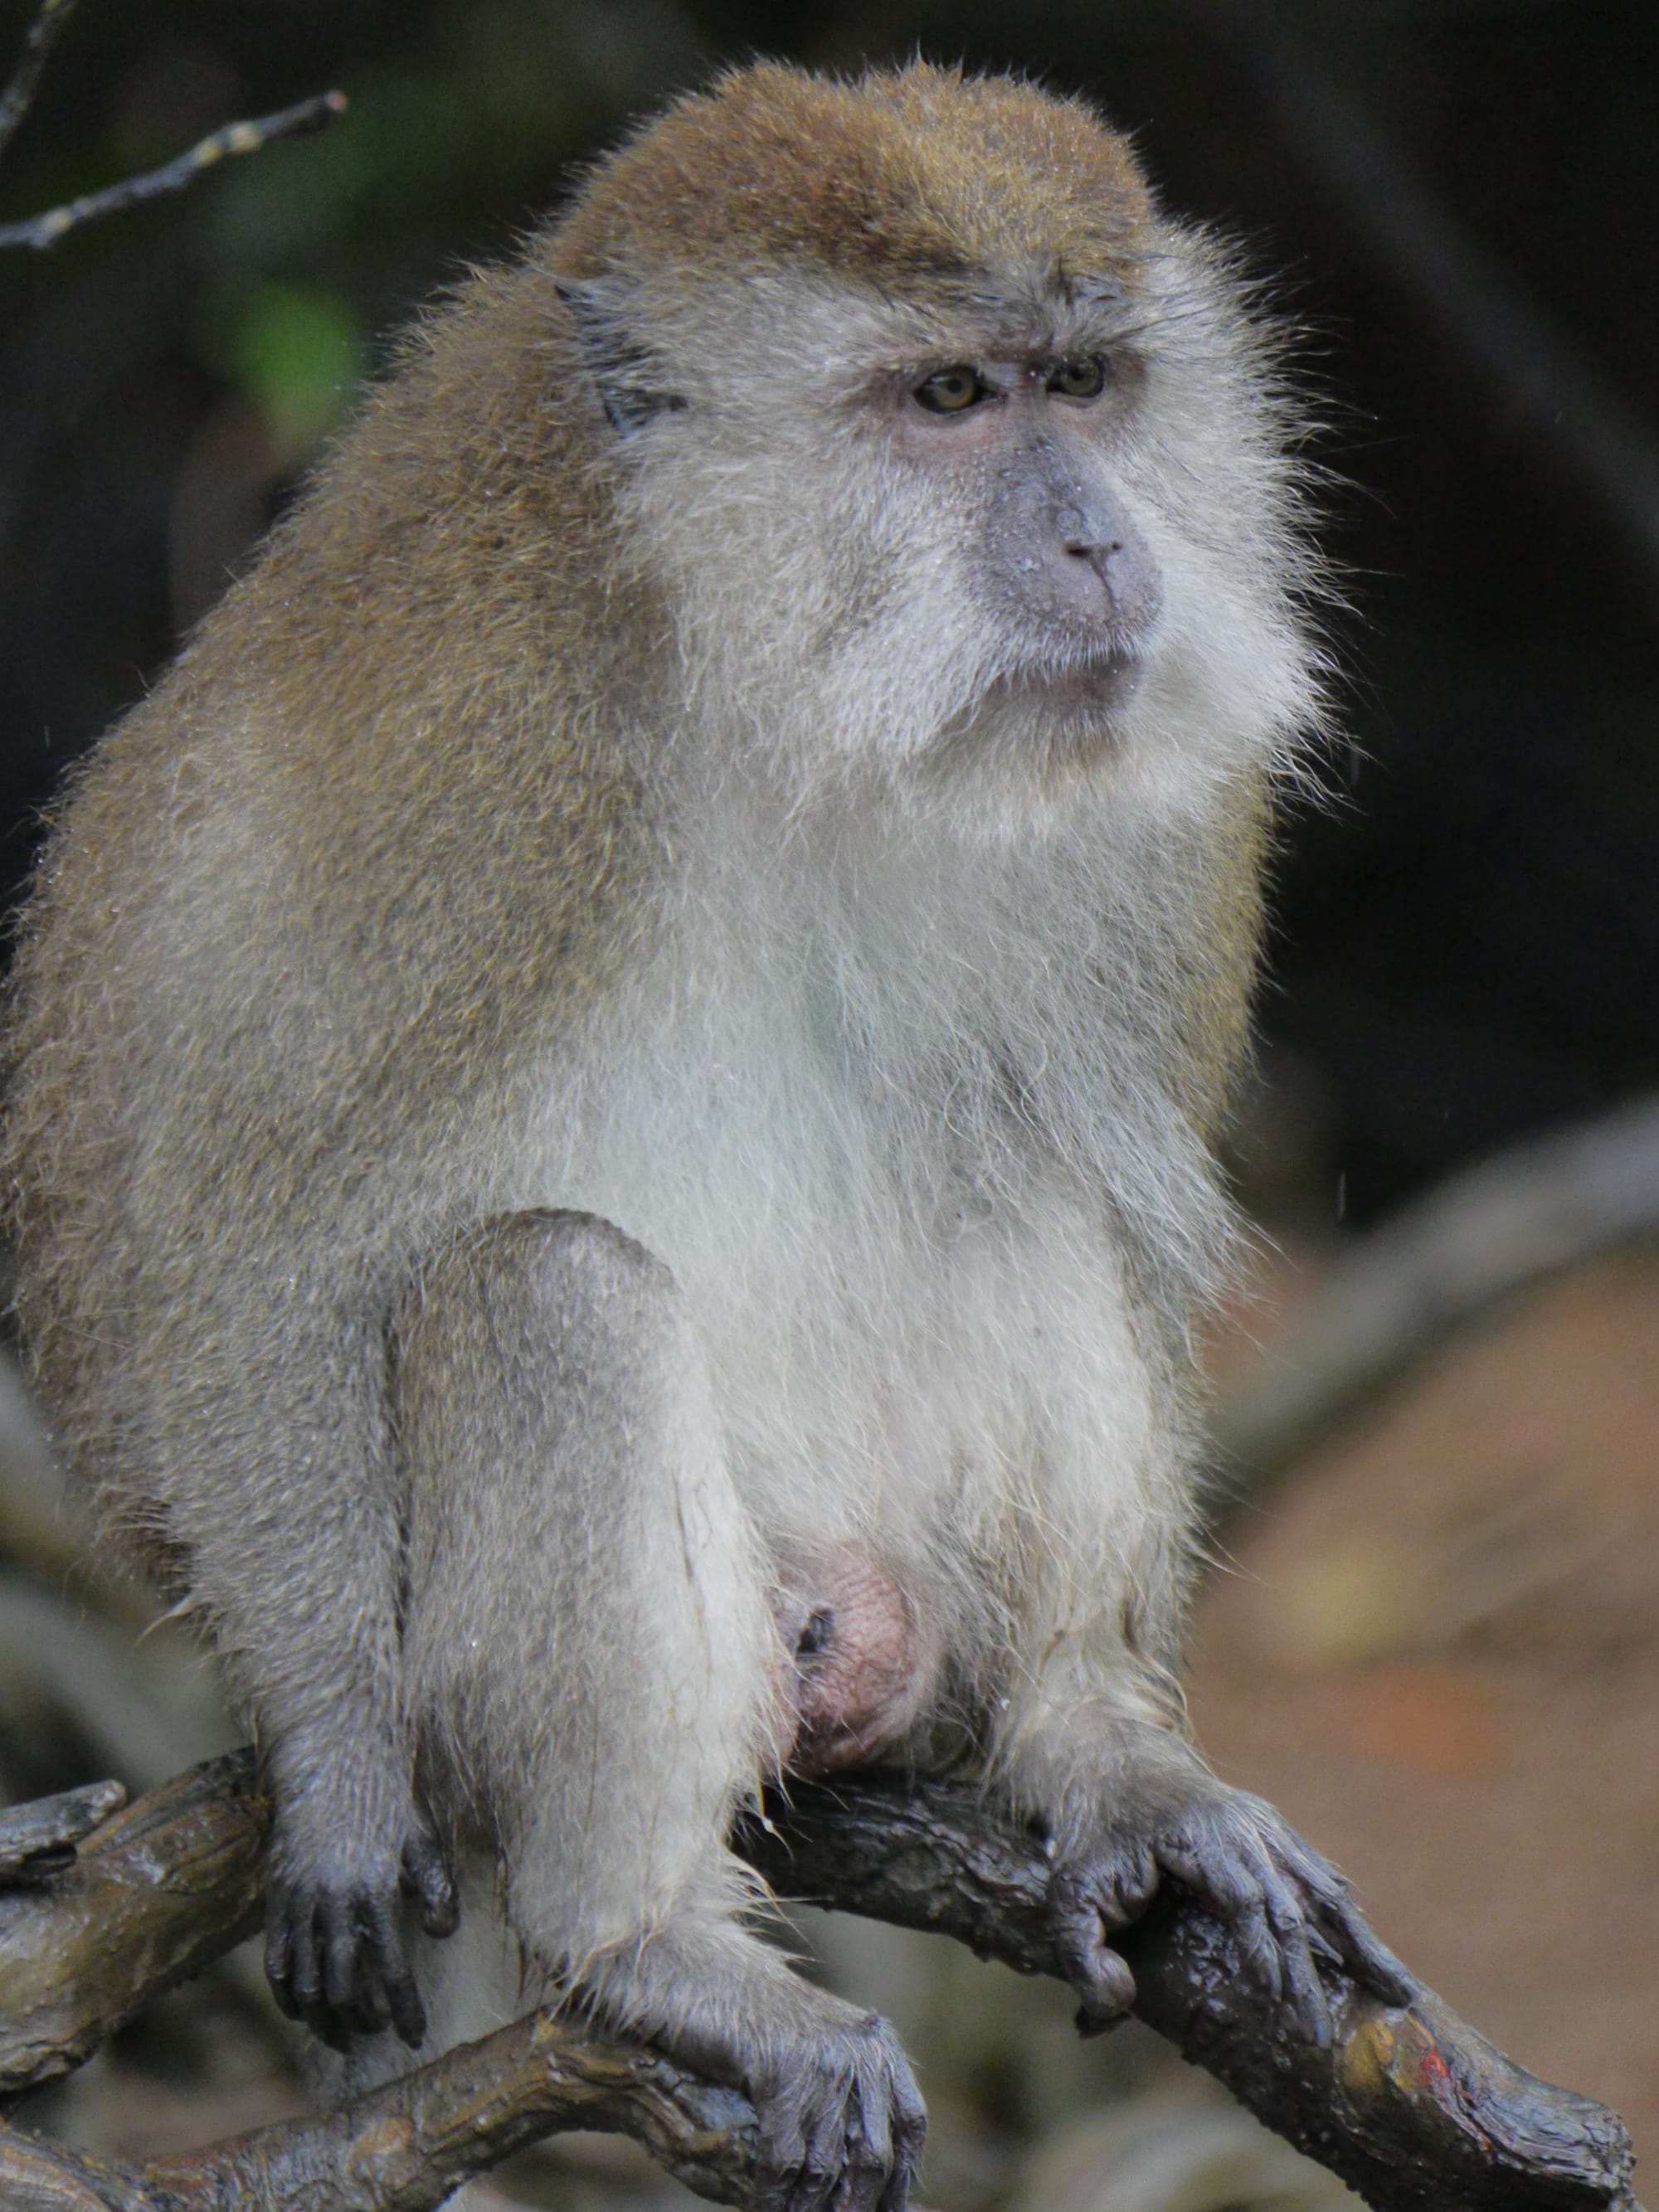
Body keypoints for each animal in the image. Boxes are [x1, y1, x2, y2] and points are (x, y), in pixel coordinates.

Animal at [1, 60, 1408, 2212]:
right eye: (946, 398)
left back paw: (1084, 1744)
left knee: (1024, 1172)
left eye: (1084, 382)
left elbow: (1126, 1181)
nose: (1099, 541)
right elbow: (249, 1229)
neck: (768, 678)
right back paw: (641, 1939)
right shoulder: (471, 745)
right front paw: (334, 1764)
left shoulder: (1156, 801)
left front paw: (1123, 1743)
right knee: (547, 1286)